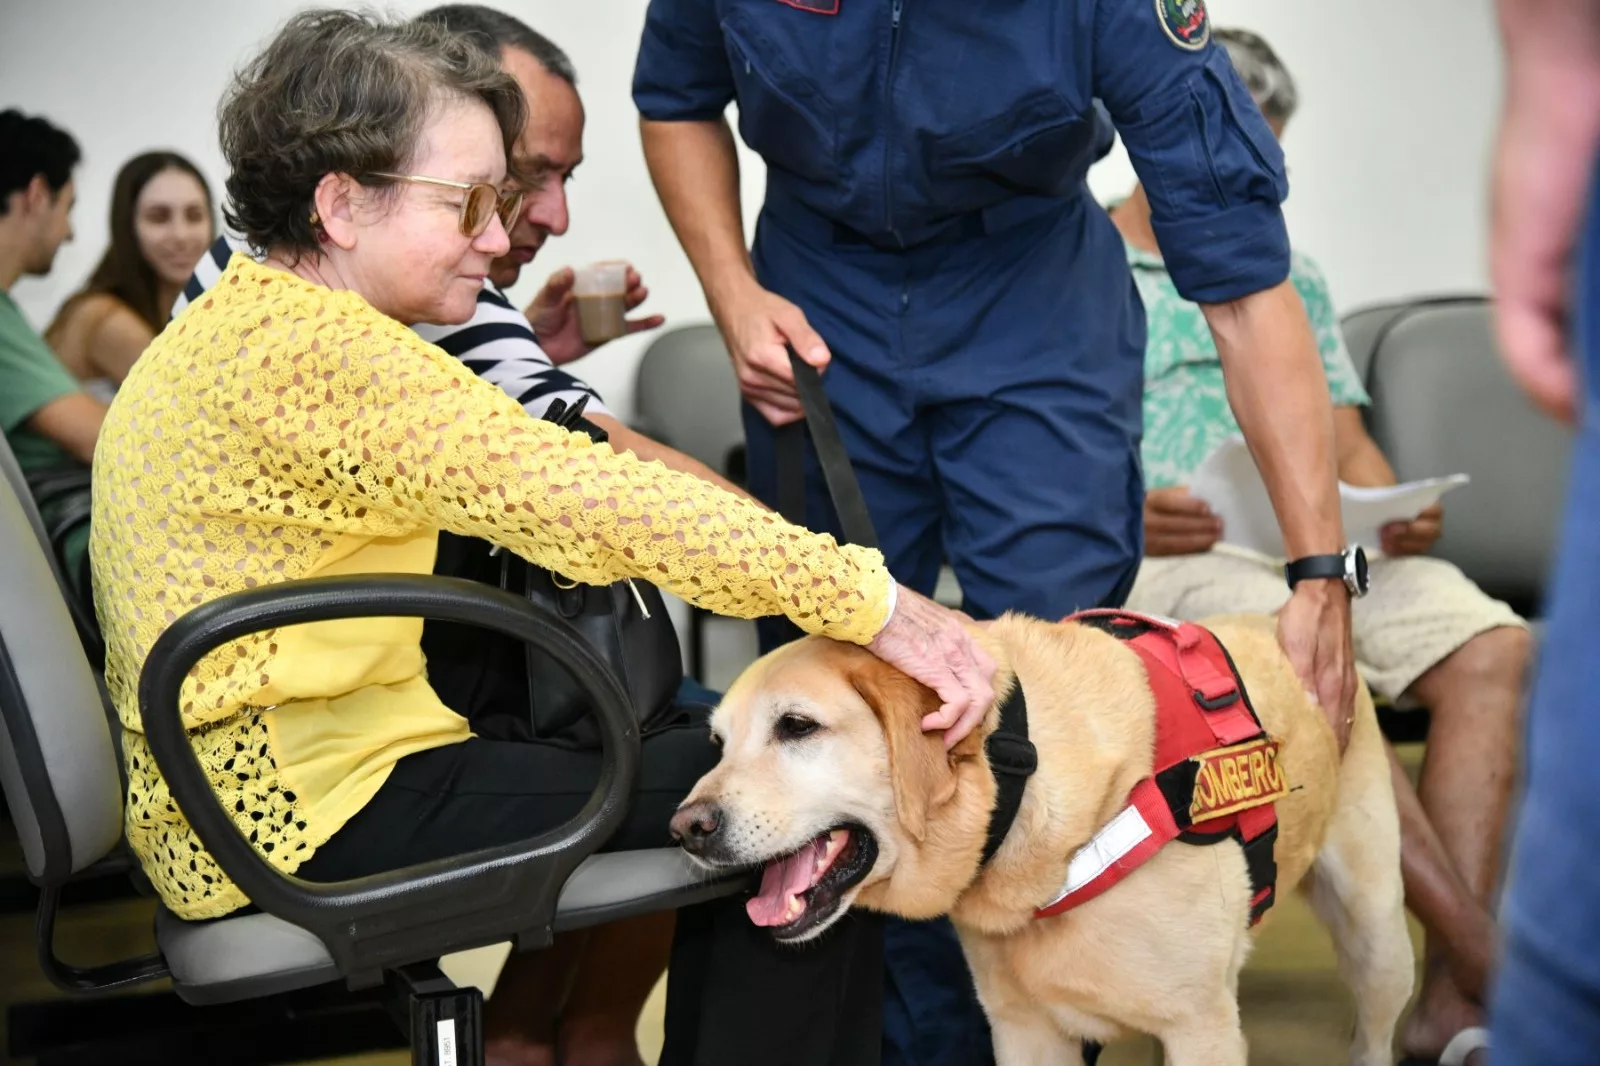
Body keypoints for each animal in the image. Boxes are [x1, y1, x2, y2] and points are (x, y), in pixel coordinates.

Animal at [668, 611, 1408, 1056]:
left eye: (797, 726)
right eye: (717, 744)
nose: (686, 829)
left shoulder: (1203, 1030)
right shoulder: (1024, 1033)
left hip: (1378, 942)